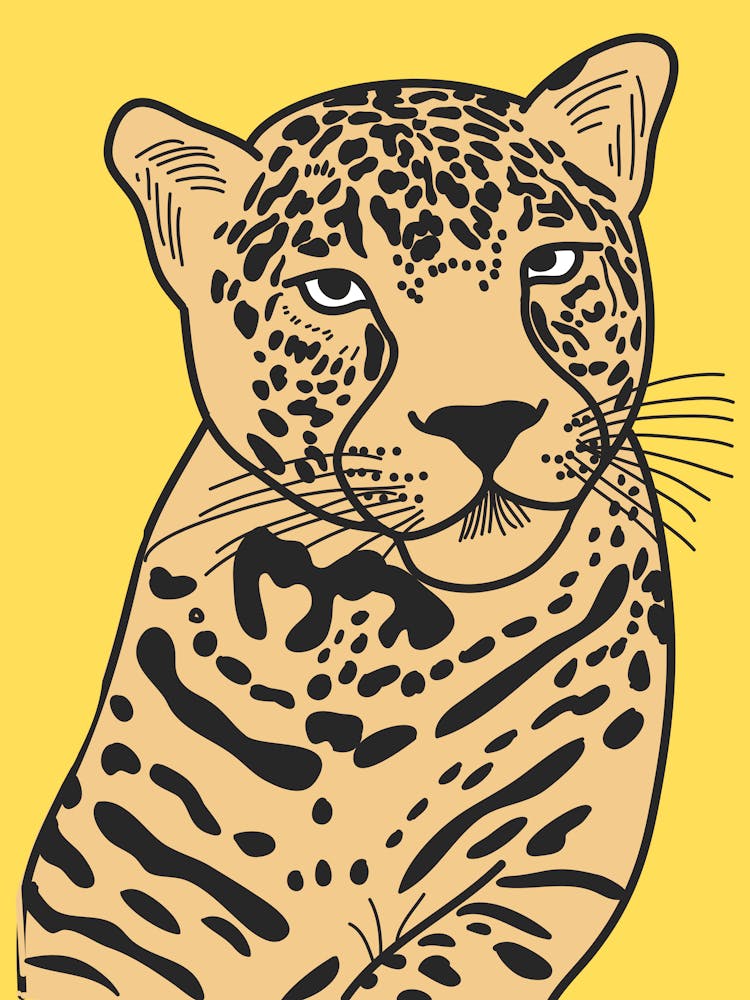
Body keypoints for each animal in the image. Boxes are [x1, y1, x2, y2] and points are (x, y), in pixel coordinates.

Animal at [18, 33, 678, 1000]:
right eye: (333, 290)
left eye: (552, 264)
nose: (487, 420)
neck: (377, 653)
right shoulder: (99, 908)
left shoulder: (542, 871)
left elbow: (422, 976)